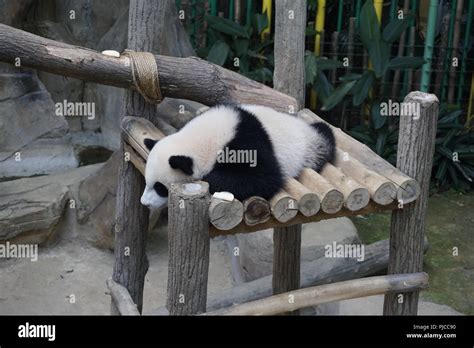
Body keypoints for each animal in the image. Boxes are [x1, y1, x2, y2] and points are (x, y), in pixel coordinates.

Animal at [139, 104, 336, 209]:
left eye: (160, 188)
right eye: (147, 182)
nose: (144, 203)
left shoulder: (246, 144)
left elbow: (264, 178)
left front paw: (211, 179)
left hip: (308, 146)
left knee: (324, 136)